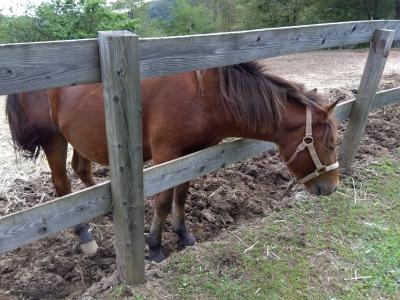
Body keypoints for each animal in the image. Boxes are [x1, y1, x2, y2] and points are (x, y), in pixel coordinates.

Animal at [6, 62, 340, 262]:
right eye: (330, 144)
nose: (332, 187)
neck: (206, 96)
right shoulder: (166, 156)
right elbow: (165, 201)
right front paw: (155, 246)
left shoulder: (191, 156)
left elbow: (182, 196)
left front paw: (183, 234)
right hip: (54, 140)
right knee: (62, 186)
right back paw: (85, 237)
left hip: (81, 136)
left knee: (82, 172)